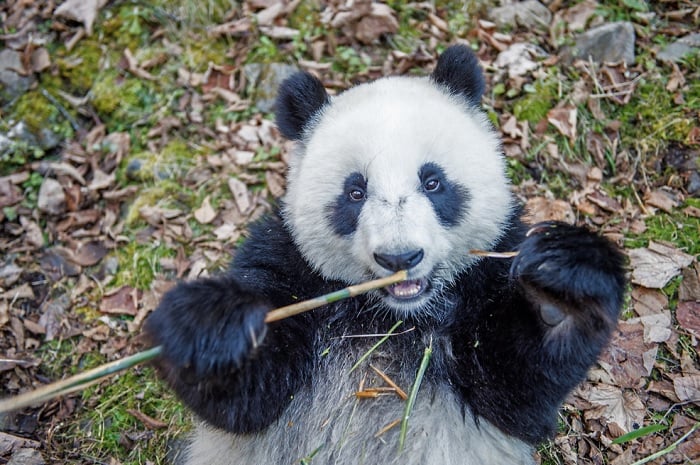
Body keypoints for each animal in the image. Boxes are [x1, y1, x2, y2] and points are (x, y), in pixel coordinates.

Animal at [144, 45, 626, 465]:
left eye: (432, 182)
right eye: (355, 192)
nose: (400, 258)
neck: (393, 317)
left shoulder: (489, 270)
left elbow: (517, 392)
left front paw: (558, 294)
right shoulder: (288, 264)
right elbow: (247, 402)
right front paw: (214, 329)